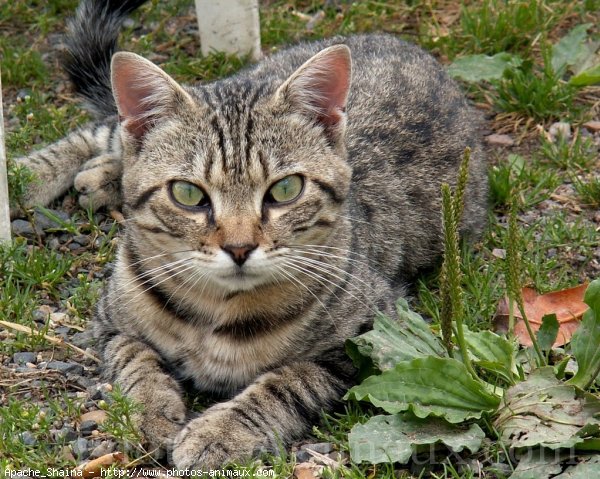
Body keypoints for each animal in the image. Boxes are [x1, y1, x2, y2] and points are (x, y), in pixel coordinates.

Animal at [15, 0, 488, 470]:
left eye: (286, 189)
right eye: (188, 194)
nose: (239, 247)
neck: (214, 310)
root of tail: (400, 43)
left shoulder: (372, 339)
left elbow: (288, 382)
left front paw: (219, 431)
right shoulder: (110, 323)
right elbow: (137, 361)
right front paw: (151, 411)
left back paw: (97, 177)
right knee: (103, 132)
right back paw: (28, 175)